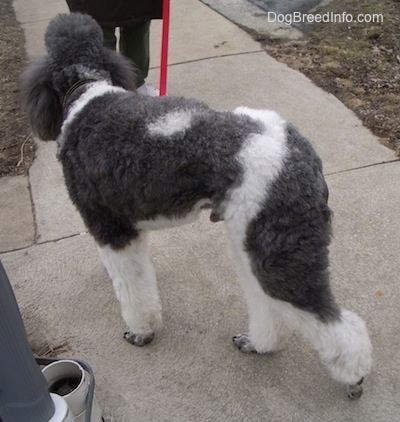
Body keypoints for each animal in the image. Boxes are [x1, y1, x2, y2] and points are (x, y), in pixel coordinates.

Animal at [21, 12, 372, 396]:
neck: (88, 92)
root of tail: (300, 151)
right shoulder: (129, 231)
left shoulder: (111, 226)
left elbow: (133, 291)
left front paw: (142, 331)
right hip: (255, 245)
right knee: (270, 305)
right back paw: (258, 343)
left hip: (277, 251)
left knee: (333, 323)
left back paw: (354, 376)